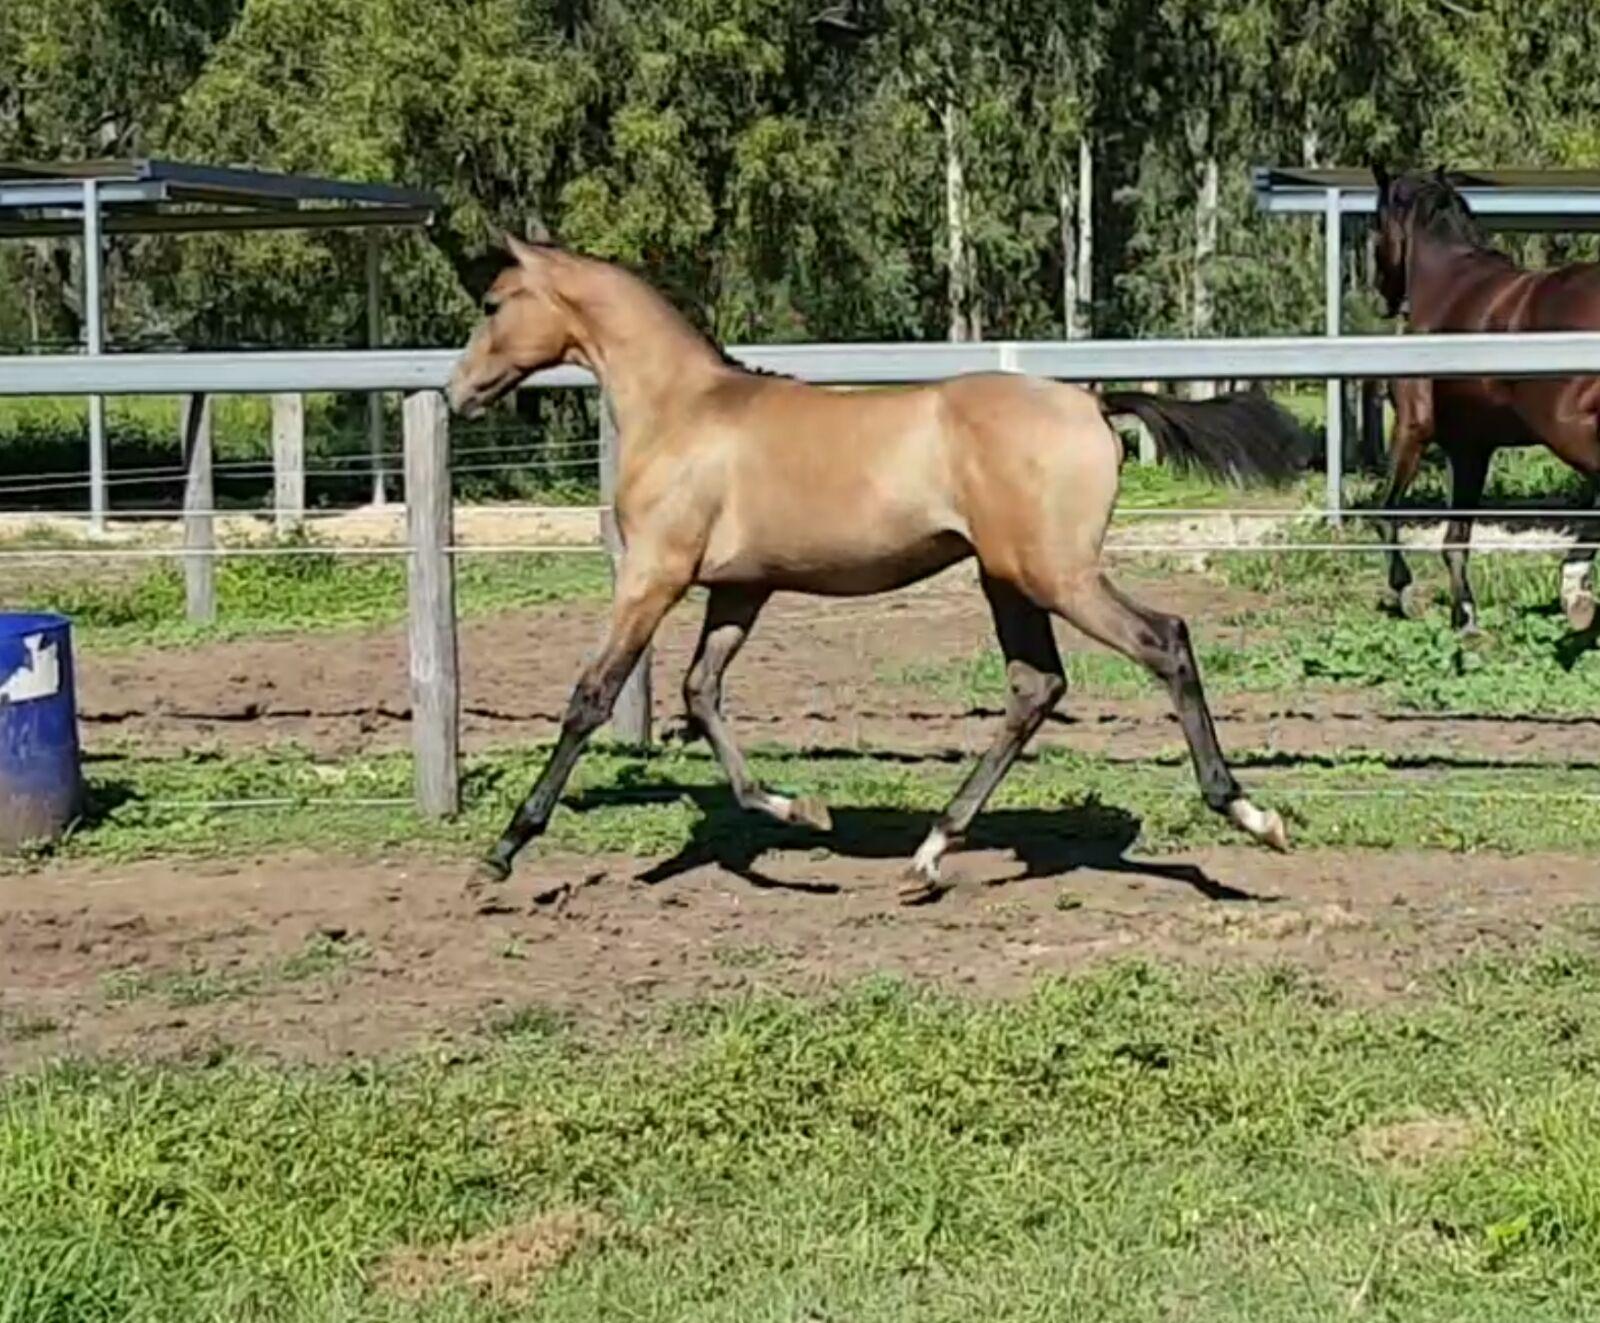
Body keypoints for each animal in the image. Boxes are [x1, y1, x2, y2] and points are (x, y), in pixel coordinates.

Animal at [446, 236, 1304, 895]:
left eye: (492, 304)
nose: (457, 394)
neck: (685, 412)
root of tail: (1093, 405)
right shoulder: (740, 589)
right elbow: (702, 693)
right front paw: (799, 809)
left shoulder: (653, 576)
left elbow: (590, 696)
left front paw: (502, 851)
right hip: (1008, 579)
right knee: (1036, 686)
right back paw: (929, 853)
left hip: (1058, 574)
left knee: (1164, 641)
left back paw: (1252, 814)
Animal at [1372, 164, 1600, 634]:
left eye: (1375, 223)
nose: (1383, 293)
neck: (1447, 284)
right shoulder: (1471, 449)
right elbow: (1456, 539)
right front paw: (1466, 615)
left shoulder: (1412, 429)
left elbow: (1387, 513)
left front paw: (1406, 591)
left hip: (1567, 431)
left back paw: (1574, 587)